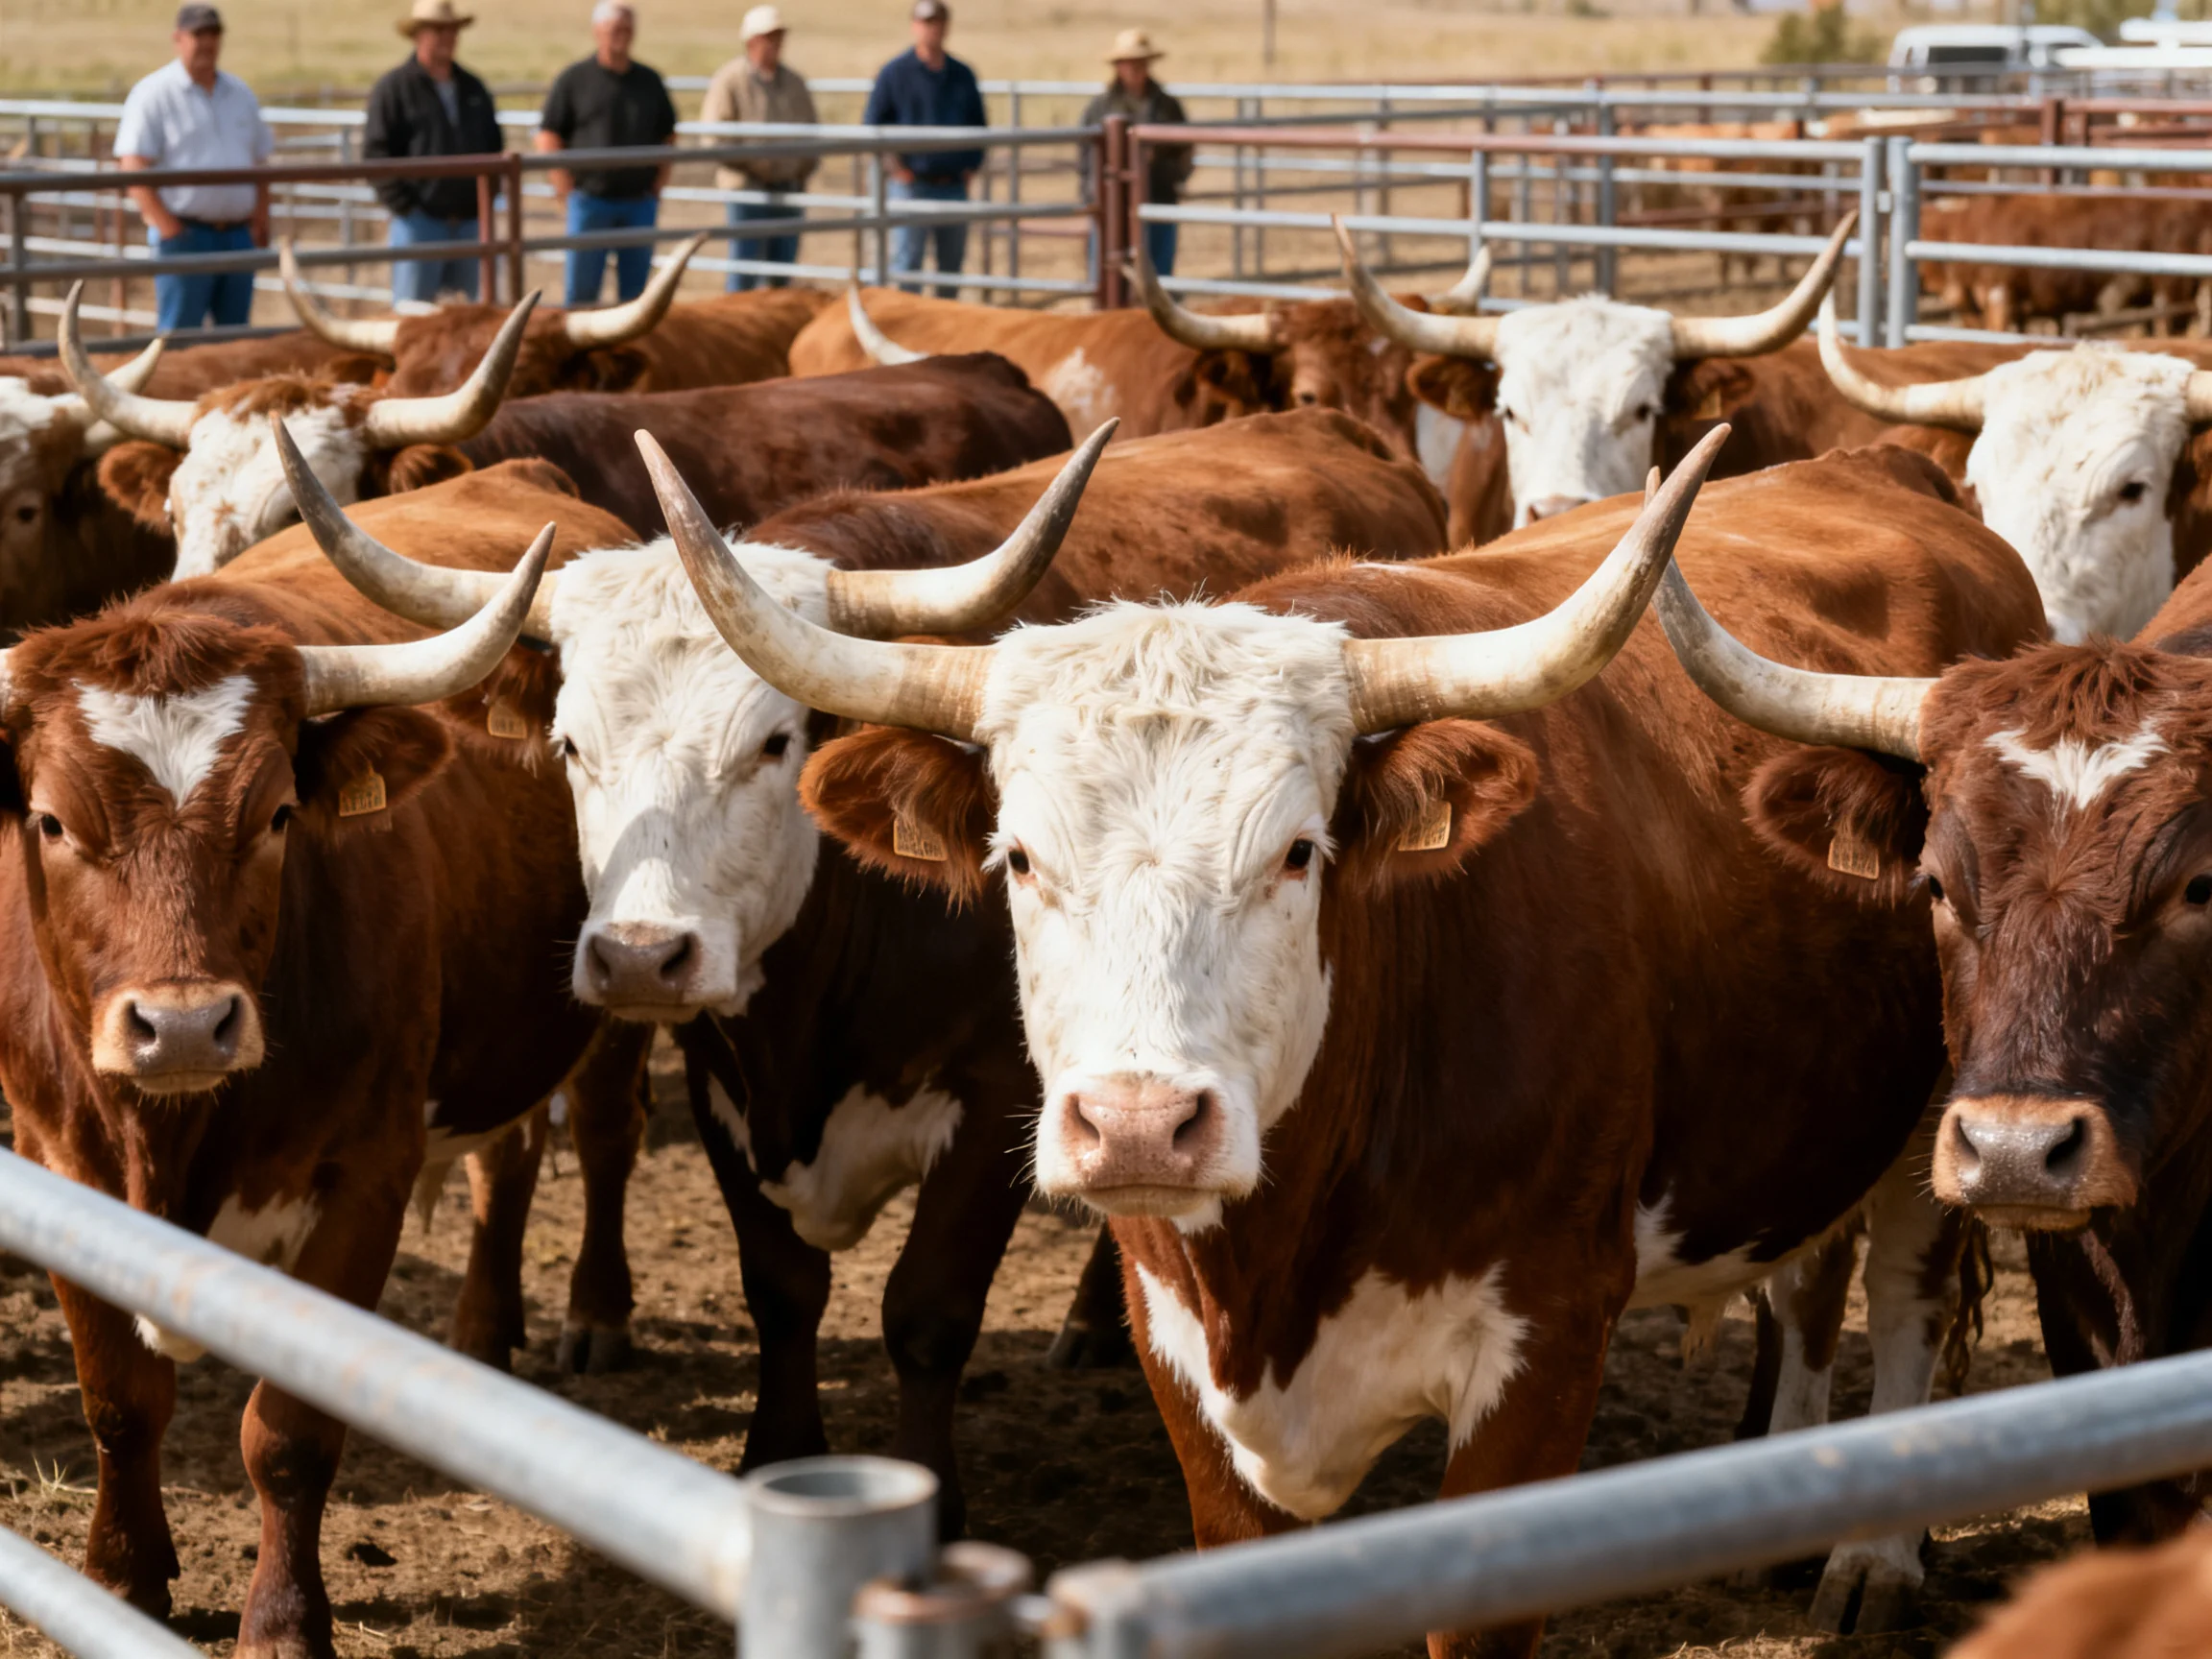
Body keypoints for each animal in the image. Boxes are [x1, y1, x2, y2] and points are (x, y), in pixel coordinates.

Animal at [0, 458, 633, 1658]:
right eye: (53, 823)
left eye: (278, 814)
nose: (184, 1026)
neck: (171, 1140)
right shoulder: (59, 1168)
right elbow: (119, 1400)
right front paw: (123, 1579)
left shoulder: (364, 1179)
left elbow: (287, 1434)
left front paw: (285, 1622)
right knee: (508, 1158)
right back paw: (481, 1339)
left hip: (632, 972)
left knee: (607, 1136)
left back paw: (597, 1316)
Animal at [289, 404, 1450, 1529]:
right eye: (572, 747)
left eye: (773, 743)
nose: (640, 957)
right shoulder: (723, 1084)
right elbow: (781, 1286)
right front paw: (776, 1458)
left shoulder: (994, 1099)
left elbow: (925, 1309)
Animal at [661, 438, 2048, 1652]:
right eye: (1019, 859)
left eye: (1297, 853)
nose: (1140, 1127)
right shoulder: (1183, 1360)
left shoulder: (1549, 1347)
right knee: (1810, 1284)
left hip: (1948, 1105)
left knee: (1907, 1294)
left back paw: (1874, 1557)